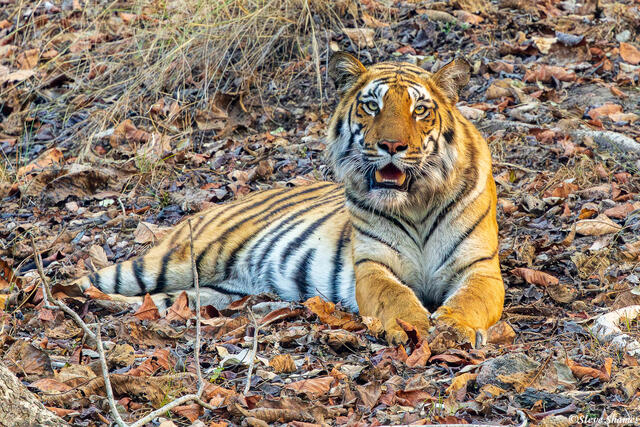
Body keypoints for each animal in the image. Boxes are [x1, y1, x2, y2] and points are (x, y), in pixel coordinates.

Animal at [69, 52, 504, 347]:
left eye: (420, 110)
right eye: (371, 105)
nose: (392, 146)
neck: (414, 202)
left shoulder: (480, 267)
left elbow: (471, 301)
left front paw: (453, 328)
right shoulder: (372, 266)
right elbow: (394, 296)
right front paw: (411, 325)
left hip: (210, 292)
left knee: (155, 301)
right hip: (174, 261)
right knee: (85, 281)